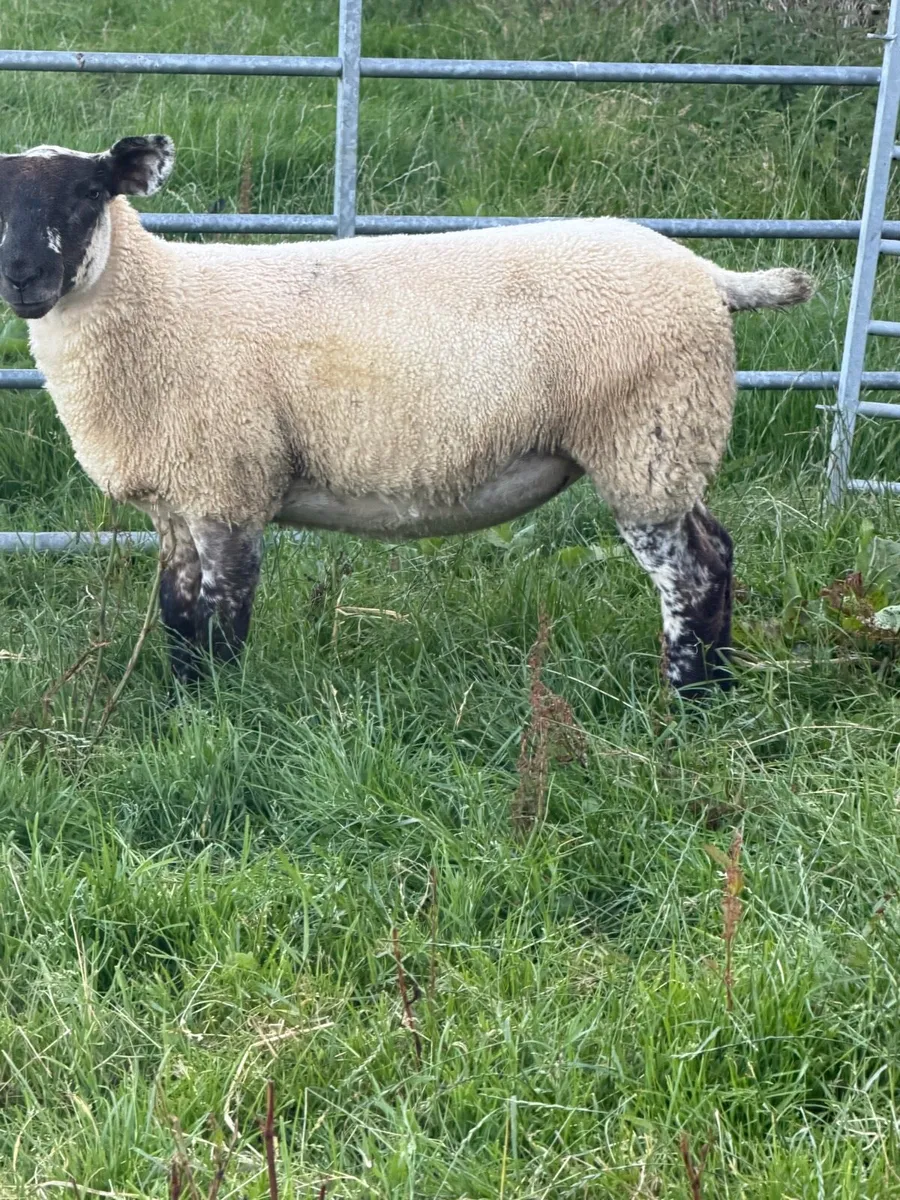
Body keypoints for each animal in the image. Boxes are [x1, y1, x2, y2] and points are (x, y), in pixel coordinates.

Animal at [0, 135, 814, 690]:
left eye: (89, 195)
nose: (22, 277)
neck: (161, 308)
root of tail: (708, 274)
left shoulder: (229, 485)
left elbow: (221, 622)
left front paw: (218, 711)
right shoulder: (178, 499)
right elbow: (176, 617)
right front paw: (181, 705)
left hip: (645, 438)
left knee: (691, 575)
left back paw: (689, 698)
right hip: (672, 441)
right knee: (720, 549)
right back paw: (719, 683)